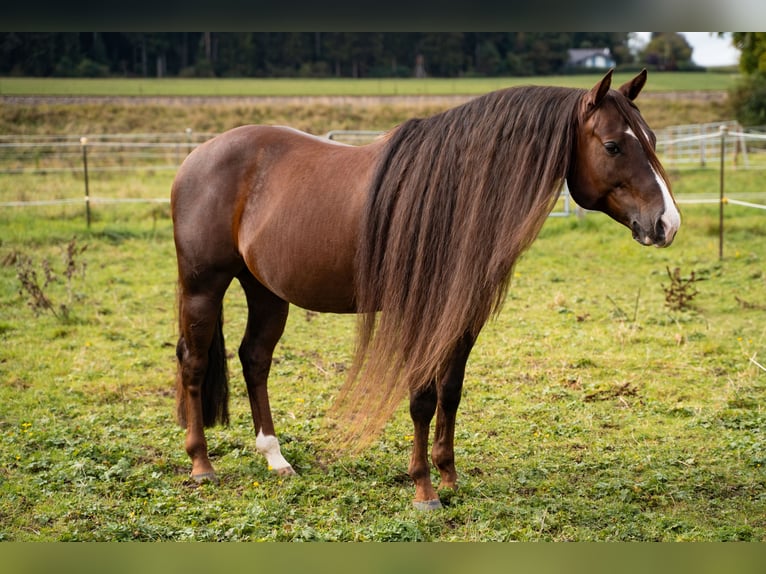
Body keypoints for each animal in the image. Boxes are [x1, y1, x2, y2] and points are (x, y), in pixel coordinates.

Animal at [171, 69, 680, 510]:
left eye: (652, 140)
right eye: (613, 145)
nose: (666, 223)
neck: (456, 195)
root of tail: (195, 157)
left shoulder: (464, 312)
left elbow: (450, 391)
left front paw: (449, 475)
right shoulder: (421, 310)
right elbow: (420, 398)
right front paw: (424, 490)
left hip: (266, 291)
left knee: (255, 359)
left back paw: (276, 458)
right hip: (204, 285)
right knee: (194, 362)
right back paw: (201, 464)